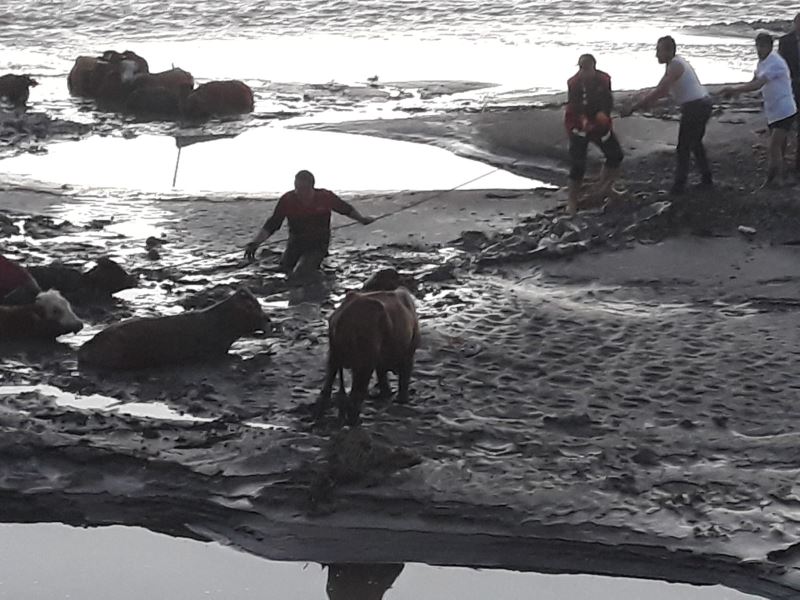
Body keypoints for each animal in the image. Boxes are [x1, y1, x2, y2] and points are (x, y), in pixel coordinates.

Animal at [318, 270, 422, 424]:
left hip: (335, 354)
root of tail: (344, 318)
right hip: (365, 359)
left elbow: (382, 375)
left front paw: (386, 394)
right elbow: (404, 376)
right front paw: (402, 399)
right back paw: (355, 420)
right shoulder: (409, 352)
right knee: (356, 394)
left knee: (328, 384)